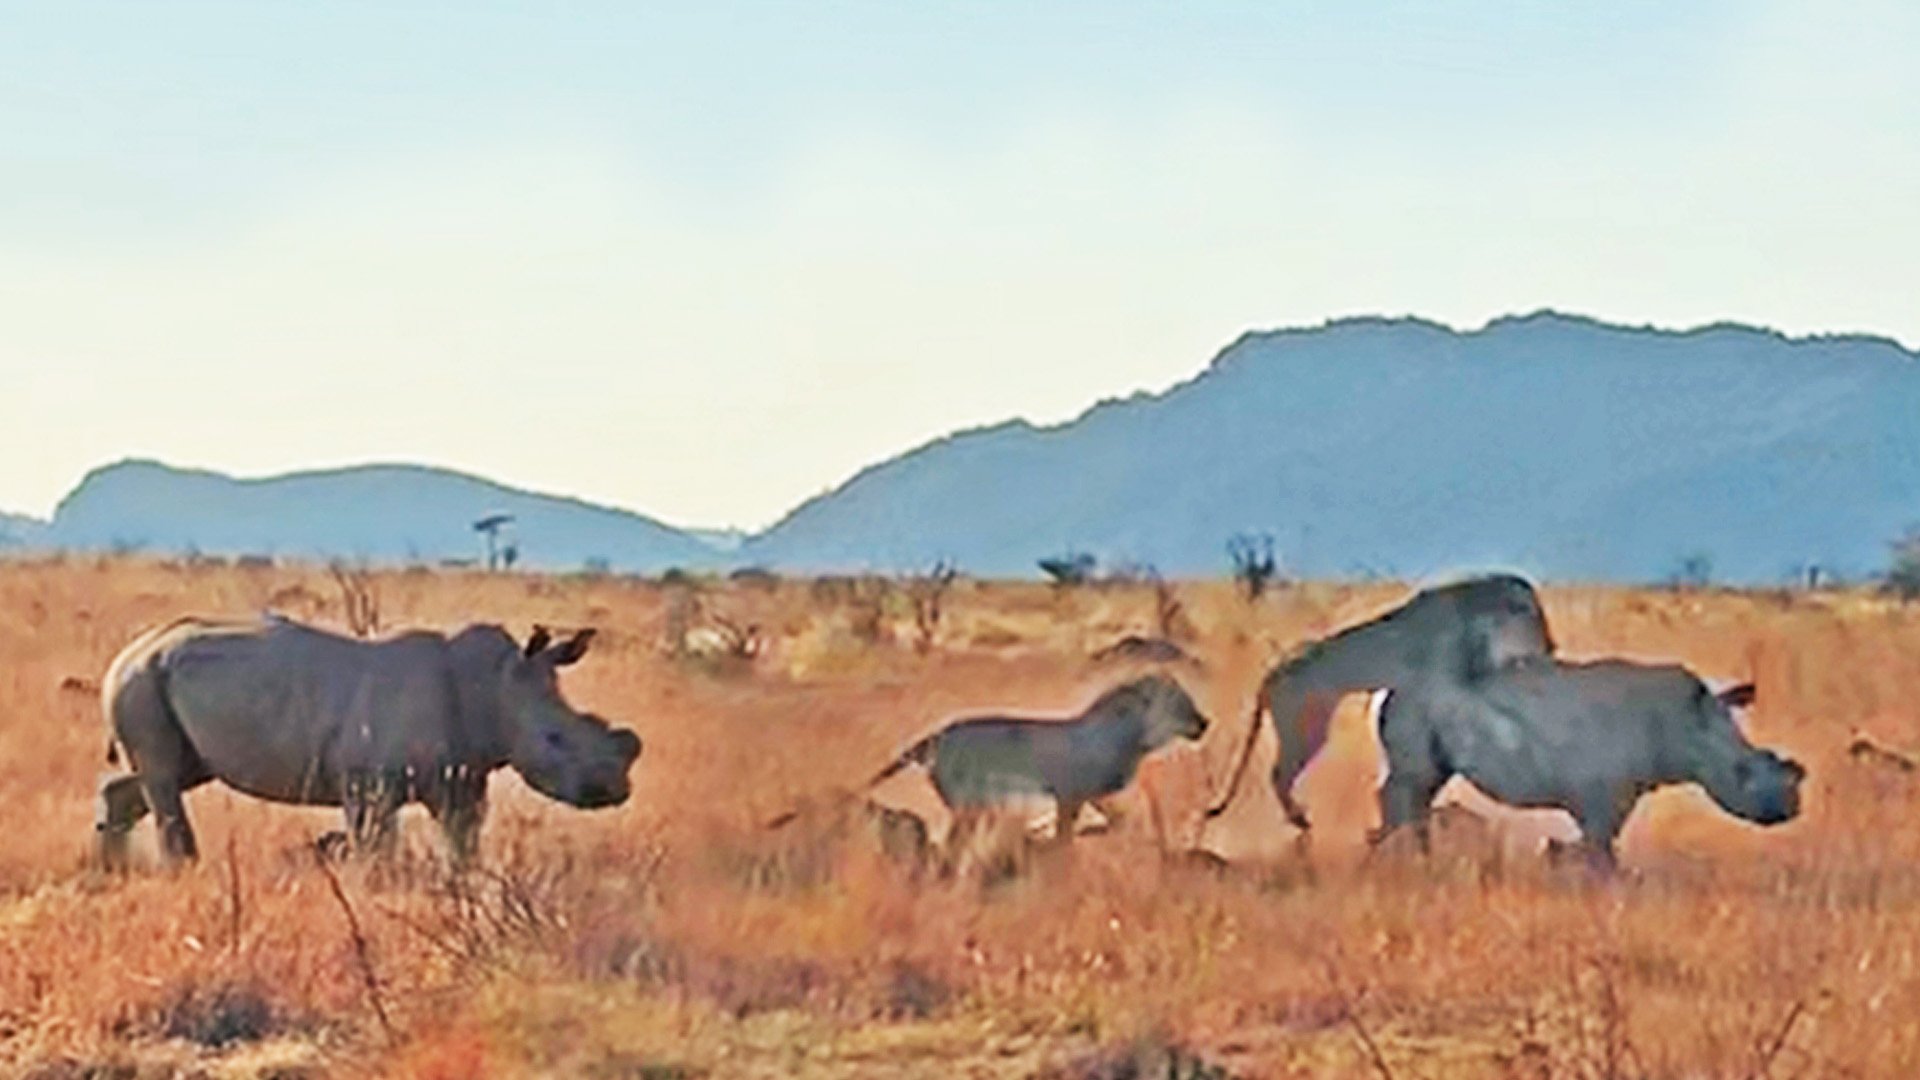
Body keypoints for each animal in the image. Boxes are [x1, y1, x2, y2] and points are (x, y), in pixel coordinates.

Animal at [95, 615, 642, 867]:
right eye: (554, 739)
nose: (615, 792)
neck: (495, 689)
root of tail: (130, 649)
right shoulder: (365, 780)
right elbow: (376, 846)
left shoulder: (462, 775)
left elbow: (463, 840)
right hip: (140, 681)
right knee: (164, 776)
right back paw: (181, 870)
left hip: (159, 683)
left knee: (171, 774)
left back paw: (112, 872)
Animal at [1371, 659, 1805, 870]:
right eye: (1741, 773)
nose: (1788, 810)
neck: (1691, 726)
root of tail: (1391, 689)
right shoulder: (1603, 794)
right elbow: (1600, 847)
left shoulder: (1616, 792)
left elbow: (1596, 845)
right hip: (1419, 704)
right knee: (1413, 781)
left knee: (1424, 786)